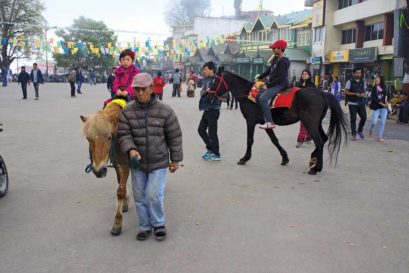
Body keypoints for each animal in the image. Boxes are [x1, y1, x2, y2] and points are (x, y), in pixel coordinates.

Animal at [80, 101, 129, 235]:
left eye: (109, 137)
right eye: (88, 138)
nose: (98, 170)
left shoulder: (126, 163)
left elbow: (120, 191)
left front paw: (117, 222)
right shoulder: (117, 162)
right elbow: (120, 183)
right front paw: (125, 202)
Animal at [210, 69, 348, 173]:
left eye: (215, 80)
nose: (208, 94)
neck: (248, 95)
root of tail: (321, 93)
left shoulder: (250, 121)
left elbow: (250, 140)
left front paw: (245, 158)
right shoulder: (266, 124)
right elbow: (274, 140)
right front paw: (285, 158)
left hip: (310, 123)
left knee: (319, 141)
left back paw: (316, 168)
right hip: (316, 123)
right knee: (324, 138)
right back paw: (313, 159)